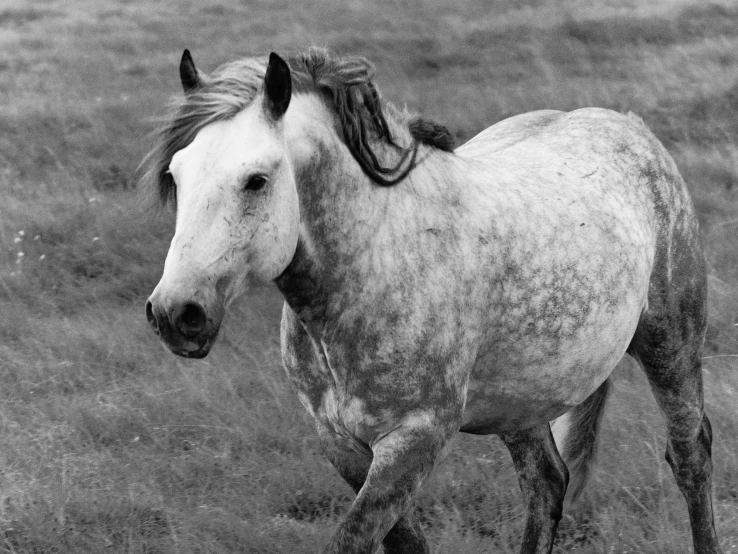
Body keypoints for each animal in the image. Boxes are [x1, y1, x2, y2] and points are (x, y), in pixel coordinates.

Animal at [142, 48, 720, 552]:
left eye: (256, 180)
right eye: (176, 175)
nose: (175, 314)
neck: (375, 262)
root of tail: (630, 125)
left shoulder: (415, 438)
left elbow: (353, 539)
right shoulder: (342, 443)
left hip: (670, 345)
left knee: (690, 456)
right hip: (522, 398)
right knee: (548, 482)